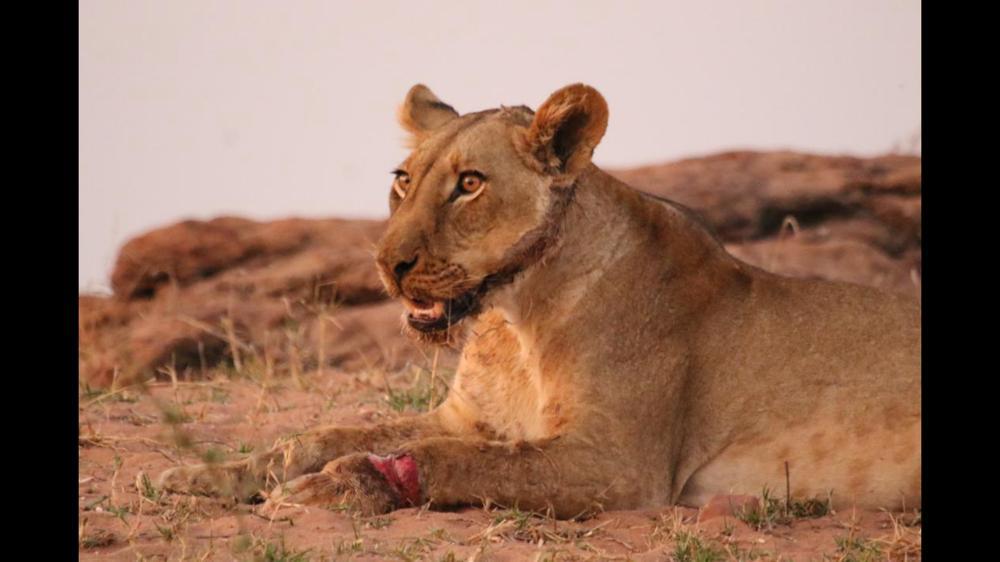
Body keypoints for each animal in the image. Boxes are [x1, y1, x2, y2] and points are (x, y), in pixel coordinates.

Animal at [159, 83, 921, 518]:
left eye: (469, 183)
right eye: (403, 179)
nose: (388, 265)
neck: (512, 319)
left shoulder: (619, 465)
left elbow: (453, 462)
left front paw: (335, 487)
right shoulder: (466, 417)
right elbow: (326, 434)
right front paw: (211, 474)